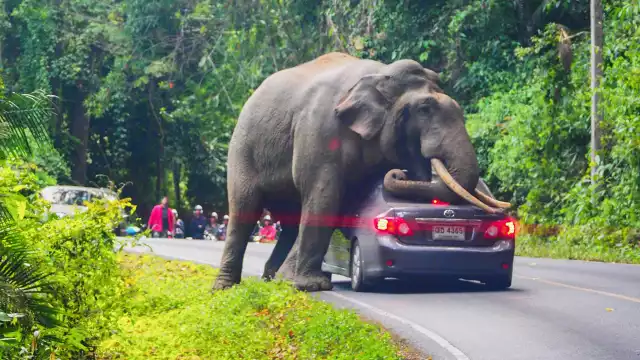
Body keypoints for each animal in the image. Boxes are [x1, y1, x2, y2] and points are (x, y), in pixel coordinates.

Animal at [212, 51, 512, 292]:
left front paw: (299, 282)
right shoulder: (320, 130)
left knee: (289, 221)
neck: (380, 75)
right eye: (425, 109)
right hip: (242, 148)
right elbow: (325, 197)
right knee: (244, 208)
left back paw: (274, 279)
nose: (399, 172)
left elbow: (339, 202)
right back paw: (226, 288)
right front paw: (311, 286)